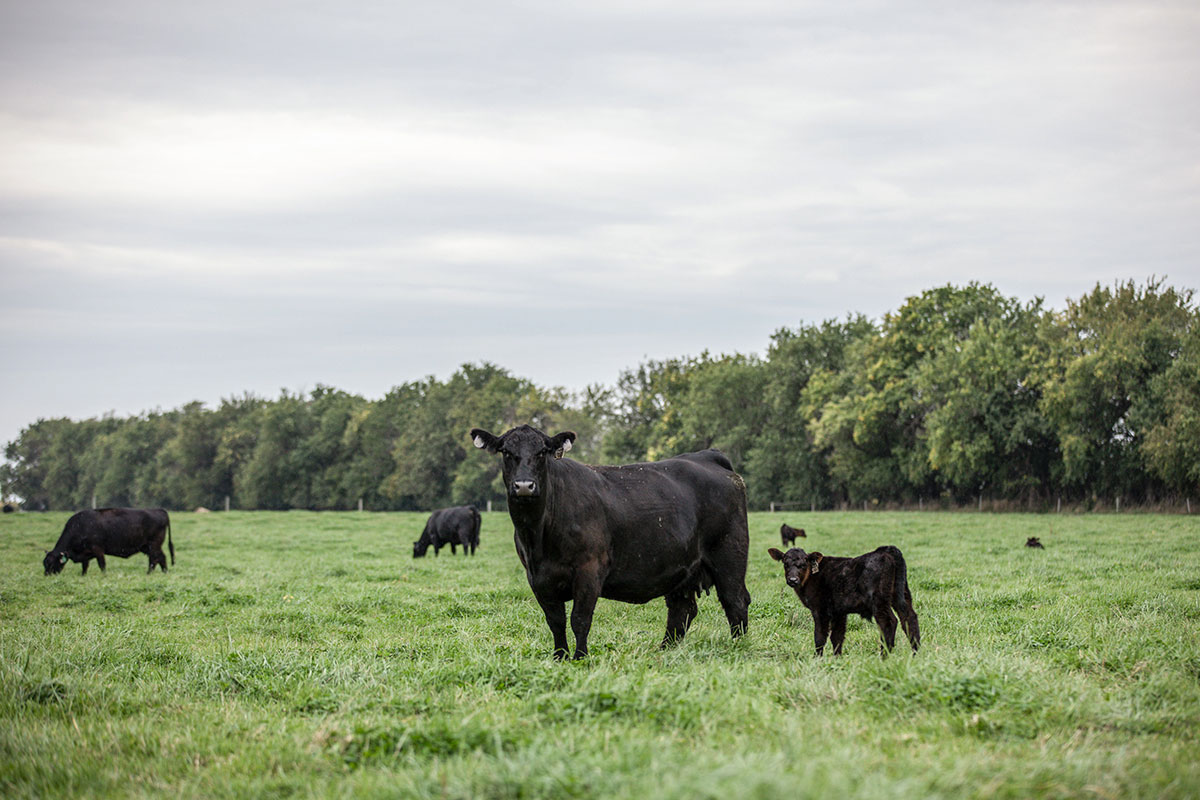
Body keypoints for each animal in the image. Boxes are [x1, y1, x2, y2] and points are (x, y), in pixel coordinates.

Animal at [42, 506, 175, 575]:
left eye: (51, 563)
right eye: (44, 563)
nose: (47, 575)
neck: (81, 526)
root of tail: (159, 510)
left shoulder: (98, 550)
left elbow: (102, 564)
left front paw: (103, 575)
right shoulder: (85, 553)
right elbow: (85, 566)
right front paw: (83, 575)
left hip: (153, 545)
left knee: (155, 559)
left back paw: (150, 573)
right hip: (146, 547)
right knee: (160, 558)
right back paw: (163, 572)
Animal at [470, 422, 744, 662]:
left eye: (542, 452)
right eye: (507, 452)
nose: (524, 486)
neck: (538, 535)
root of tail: (706, 456)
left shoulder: (589, 570)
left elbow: (580, 619)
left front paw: (580, 658)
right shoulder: (538, 578)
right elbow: (556, 622)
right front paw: (559, 658)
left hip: (729, 556)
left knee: (736, 601)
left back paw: (738, 647)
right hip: (682, 568)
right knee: (681, 610)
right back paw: (665, 651)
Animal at [768, 544, 916, 657]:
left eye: (803, 564)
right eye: (785, 563)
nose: (792, 580)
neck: (811, 577)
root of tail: (886, 550)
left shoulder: (820, 609)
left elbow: (820, 636)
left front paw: (817, 659)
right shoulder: (839, 612)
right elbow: (837, 637)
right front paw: (837, 658)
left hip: (879, 602)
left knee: (889, 622)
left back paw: (884, 656)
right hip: (901, 594)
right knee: (909, 617)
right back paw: (915, 652)